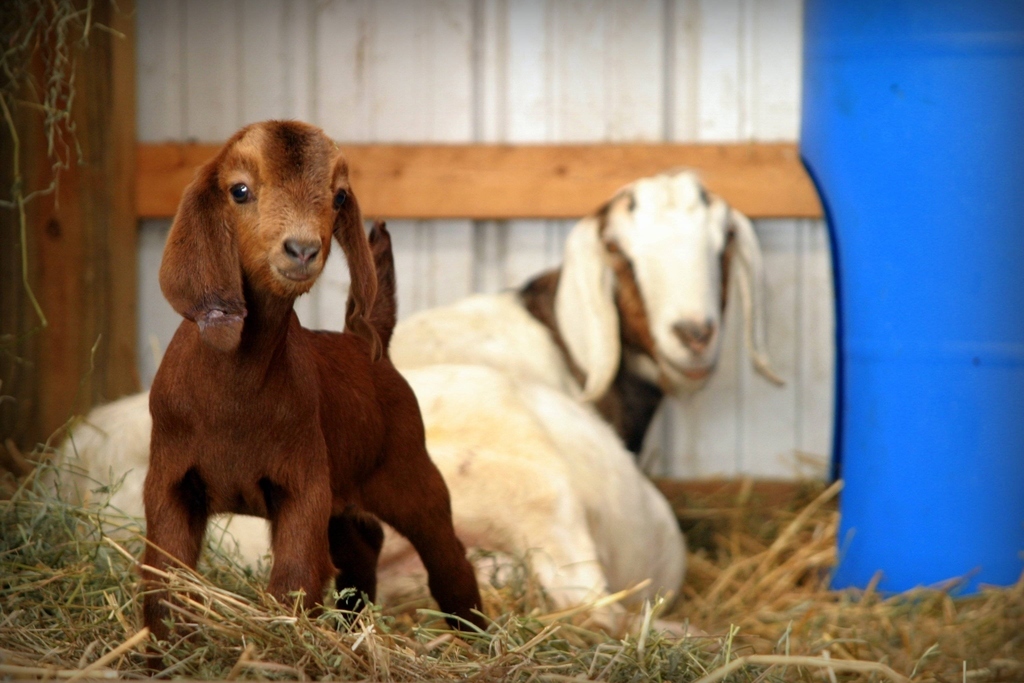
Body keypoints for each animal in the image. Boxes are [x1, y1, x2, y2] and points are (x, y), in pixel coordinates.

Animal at [141, 120, 487, 651]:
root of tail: (367, 342)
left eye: (339, 196)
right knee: (362, 546)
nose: (302, 249)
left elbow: (295, 577)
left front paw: (282, 647)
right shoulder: (171, 479)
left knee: (446, 555)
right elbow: (164, 580)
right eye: (239, 190)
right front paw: (162, 654)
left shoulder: (303, 482)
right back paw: (352, 626)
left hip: (409, 472)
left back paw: (479, 639)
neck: (236, 391)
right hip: (344, 490)